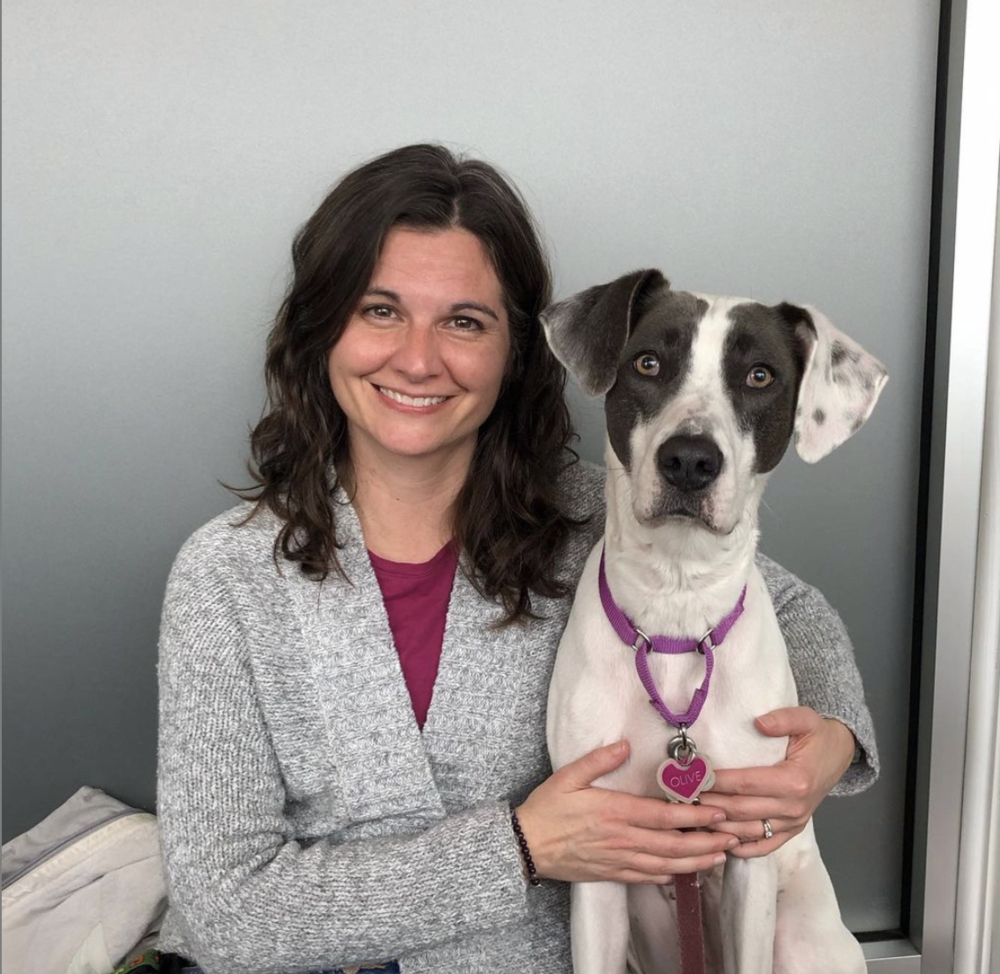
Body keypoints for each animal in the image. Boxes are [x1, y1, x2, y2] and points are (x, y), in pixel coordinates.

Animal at [544, 270, 888, 974]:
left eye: (760, 376)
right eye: (647, 363)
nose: (690, 459)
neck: (677, 613)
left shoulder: (749, 846)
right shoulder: (597, 852)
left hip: (799, 936)